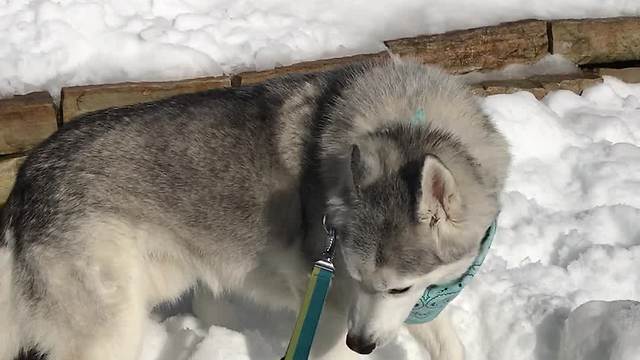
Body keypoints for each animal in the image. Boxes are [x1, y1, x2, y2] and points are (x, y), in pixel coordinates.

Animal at [0, 60, 510, 358]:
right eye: (356, 275)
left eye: (399, 288)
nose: (361, 344)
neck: (410, 120)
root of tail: (27, 178)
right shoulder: (333, 311)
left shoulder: (406, 308)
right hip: (112, 331)